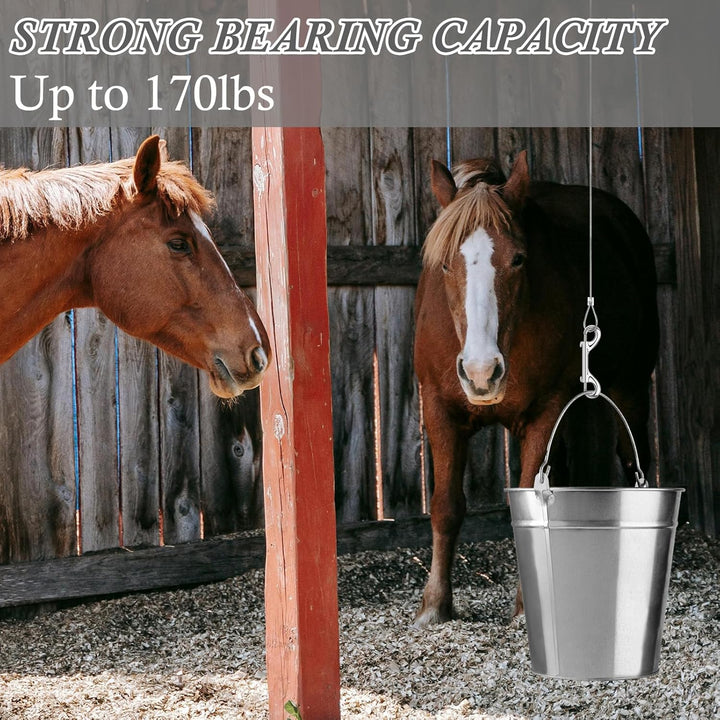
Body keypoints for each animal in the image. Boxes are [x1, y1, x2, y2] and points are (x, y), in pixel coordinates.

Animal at [413, 151, 659, 627]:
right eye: (446, 264)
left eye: (519, 259)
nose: (481, 372)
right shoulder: (437, 409)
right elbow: (446, 506)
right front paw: (434, 605)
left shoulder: (545, 410)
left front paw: (528, 607)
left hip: (631, 389)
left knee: (631, 456)